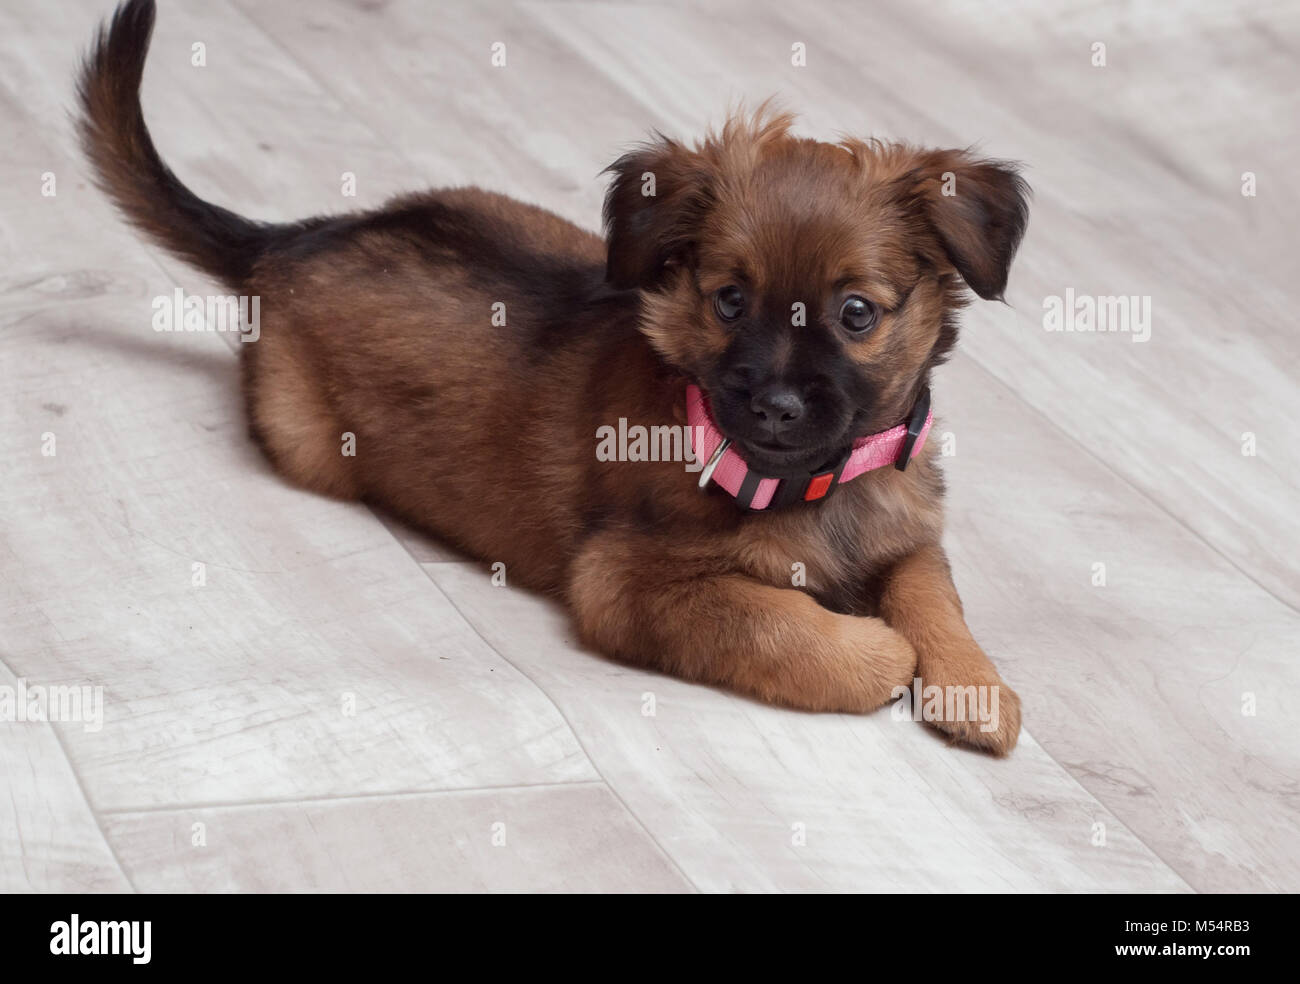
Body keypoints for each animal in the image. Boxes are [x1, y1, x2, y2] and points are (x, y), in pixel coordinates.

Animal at [81, 1, 1029, 753]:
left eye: (857, 315)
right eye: (728, 300)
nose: (775, 405)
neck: (817, 486)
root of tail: (296, 236)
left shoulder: (908, 534)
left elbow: (934, 596)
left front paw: (976, 685)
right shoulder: (629, 582)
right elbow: (778, 623)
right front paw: (878, 652)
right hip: (311, 445)